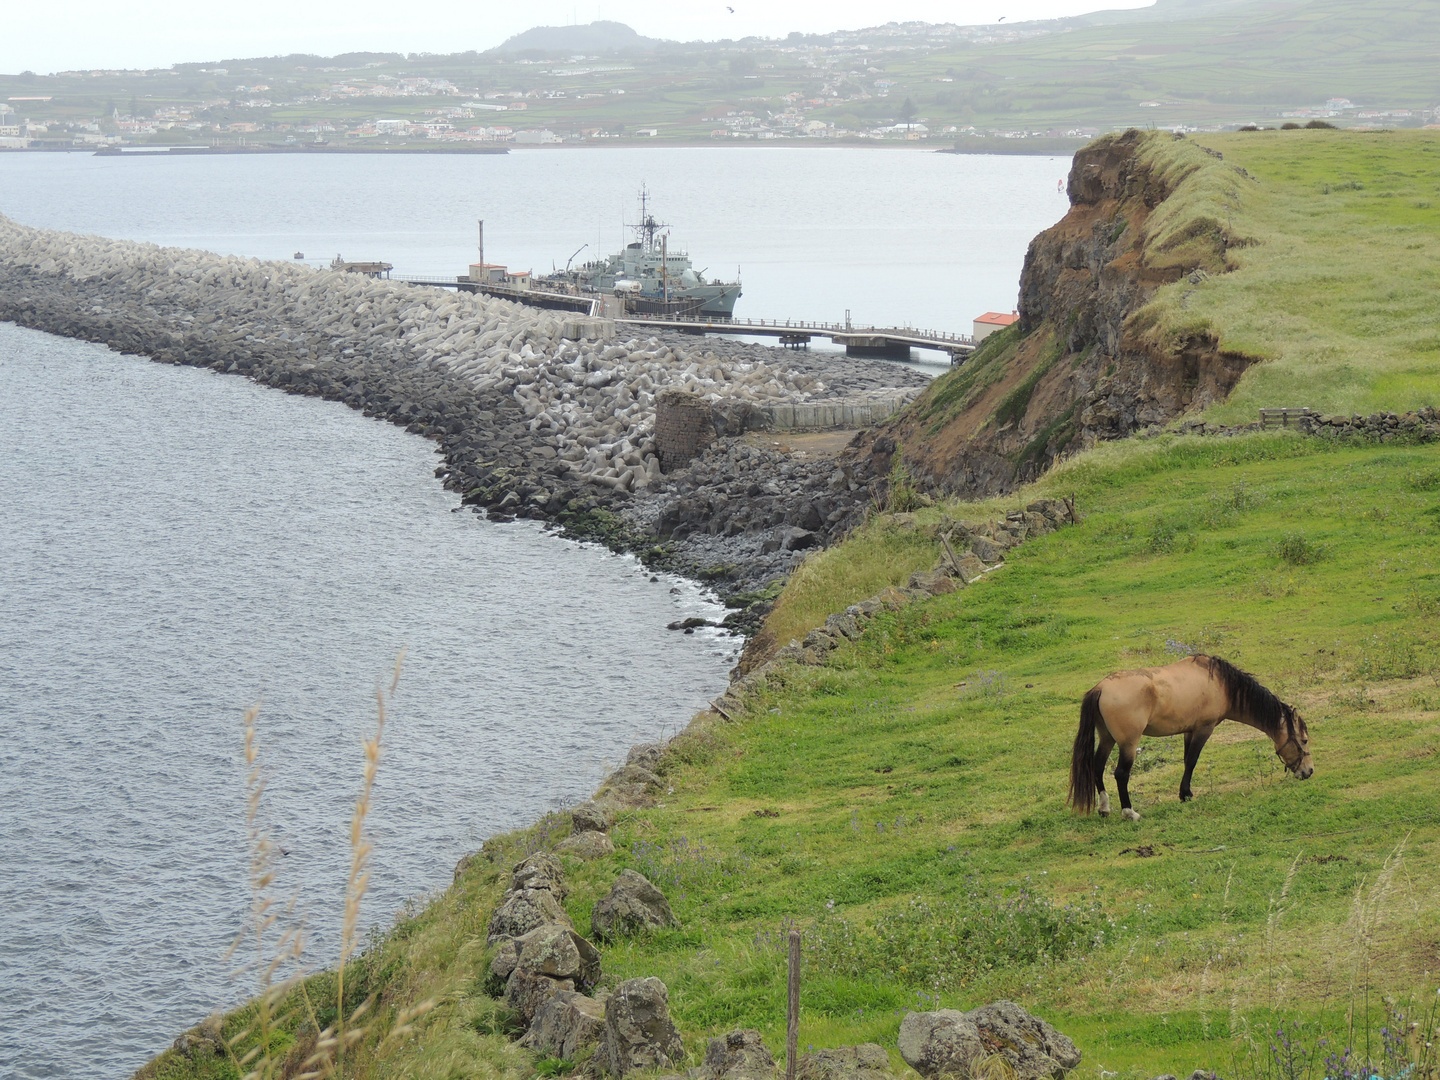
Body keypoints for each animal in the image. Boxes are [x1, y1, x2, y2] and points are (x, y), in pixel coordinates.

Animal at [1065, 656, 1313, 823]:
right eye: (1304, 740)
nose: (1308, 771)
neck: (1221, 684)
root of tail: (1101, 688)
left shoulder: (1188, 731)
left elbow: (1186, 761)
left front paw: (1184, 793)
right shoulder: (1204, 729)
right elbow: (1192, 761)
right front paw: (1186, 795)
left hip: (1107, 738)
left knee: (1097, 767)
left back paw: (1104, 808)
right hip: (1128, 743)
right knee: (1120, 774)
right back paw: (1129, 812)